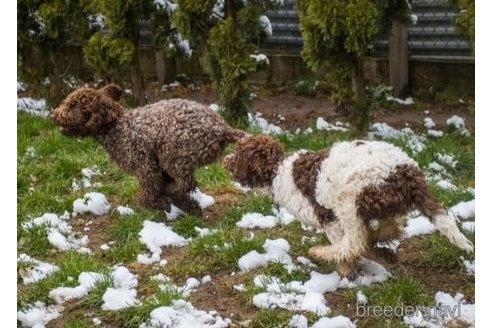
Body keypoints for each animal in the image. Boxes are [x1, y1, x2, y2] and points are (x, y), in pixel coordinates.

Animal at [223, 134, 472, 276]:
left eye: (238, 154)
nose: (225, 161)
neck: (278, 169)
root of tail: (407, 171)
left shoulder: (328, 217)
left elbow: (347, 244)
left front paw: (345, 269)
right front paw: (381, 254)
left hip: (350, 198)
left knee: (355, 240)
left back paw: (321, 252)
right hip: (379, 199)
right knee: (390, 224)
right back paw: (380, 242)